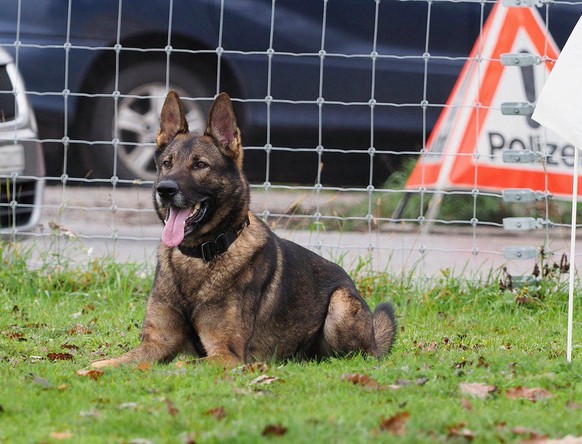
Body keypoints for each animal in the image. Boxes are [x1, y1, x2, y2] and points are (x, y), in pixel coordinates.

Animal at [93, 91, 400, 368]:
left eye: (200, 165)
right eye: (167, 164)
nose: (165, 190)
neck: (199, 257)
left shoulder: (226, 354)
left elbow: (179, 366)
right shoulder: (156, 344)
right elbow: (107, 363)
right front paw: (91, 370)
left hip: (340, 304)